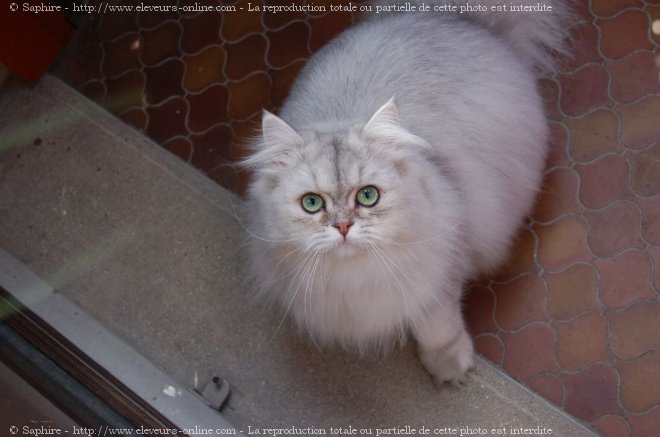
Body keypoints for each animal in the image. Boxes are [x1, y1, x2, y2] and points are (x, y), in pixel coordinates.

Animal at [242, 0, 572, 384]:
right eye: (312, 203)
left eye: (368, 196)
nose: (342, 227)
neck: (354, 280)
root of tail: (451, 15)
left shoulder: (442, 272)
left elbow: (438, 326)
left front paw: (449, 369)